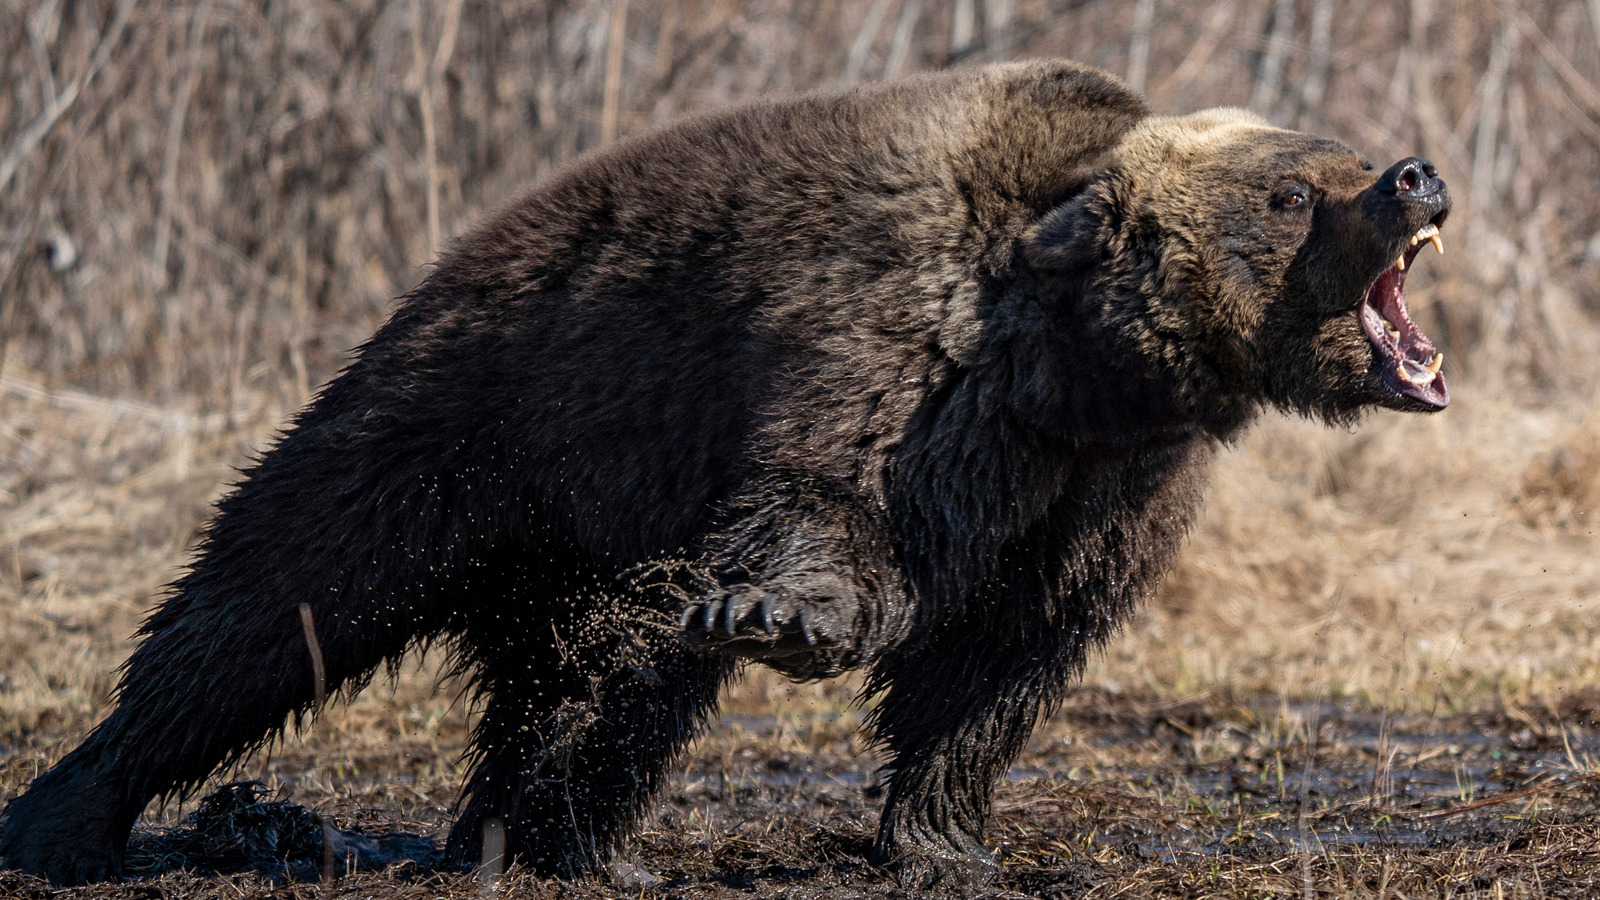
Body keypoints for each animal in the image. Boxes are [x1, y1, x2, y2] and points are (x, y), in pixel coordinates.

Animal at [0, 59, 1452, 883]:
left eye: (1333, 155)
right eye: (1291, 192)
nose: (1414, 175)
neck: (1081, 368)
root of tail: (449, 261)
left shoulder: (1109, 487)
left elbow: (1004, 657)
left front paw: (948, 840)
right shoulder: (893, 358)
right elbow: (828, 516)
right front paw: (785, 617)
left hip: (582, 521)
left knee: (591, 678)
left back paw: (541, 840)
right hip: (467, 423)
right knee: (271, 606)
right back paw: (72, 815)